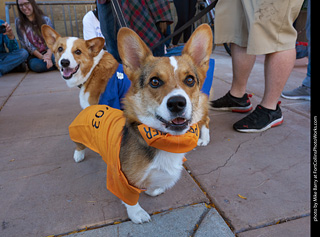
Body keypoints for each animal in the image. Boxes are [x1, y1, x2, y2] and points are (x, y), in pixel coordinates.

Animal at [69, 25, 212, 223]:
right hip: (79, 134)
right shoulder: (122, 180)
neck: (162, 141)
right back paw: (78, 155)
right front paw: (137, 214)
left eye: (190, 80)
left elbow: (150, 184)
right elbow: (130, 199)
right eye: (155, 81)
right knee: (79, 145)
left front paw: (154, 190)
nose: (177, 103)